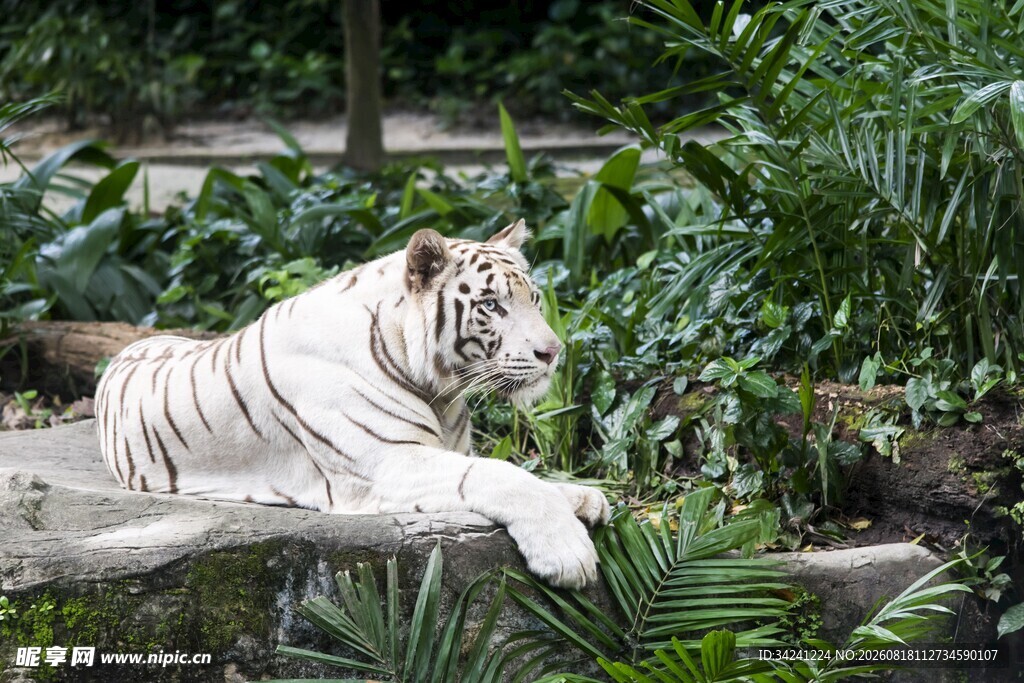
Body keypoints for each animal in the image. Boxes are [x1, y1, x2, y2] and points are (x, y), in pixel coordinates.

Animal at [94, 220, 610, 589]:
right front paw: (568, 553)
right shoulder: (385, 463)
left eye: (536, 299)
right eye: (490, 305)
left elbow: (525, 475)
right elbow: (501, 476)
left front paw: (585, 498)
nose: (553, 351)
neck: (438, 389)